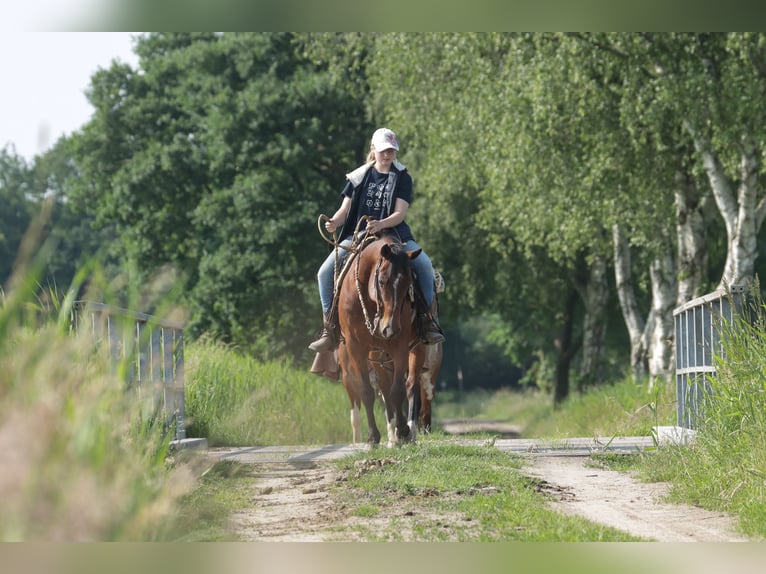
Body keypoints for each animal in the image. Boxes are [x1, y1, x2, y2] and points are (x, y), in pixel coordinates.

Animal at [340, 232, 428, 448]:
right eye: (381, 281)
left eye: (408, 285)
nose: (389, 328)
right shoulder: (356, 347)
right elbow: (367, 391)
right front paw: (373, 437)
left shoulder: (400, 346)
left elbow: (398, 391)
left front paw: (403, 431)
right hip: (377, 355)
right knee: (385, 389)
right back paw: (392, 435)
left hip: (416, 348)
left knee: (410, 385)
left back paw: (409, 432)